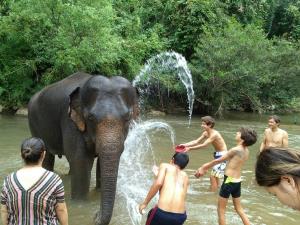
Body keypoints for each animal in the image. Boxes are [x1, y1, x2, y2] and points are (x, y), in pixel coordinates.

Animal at [27, 72, 139, 225]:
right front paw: (80, 204)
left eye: (127, 117)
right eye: (90, 118)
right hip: (34, 124)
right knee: (47, 156)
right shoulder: (70, 122)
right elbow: (81, 161)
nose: (95, 215)